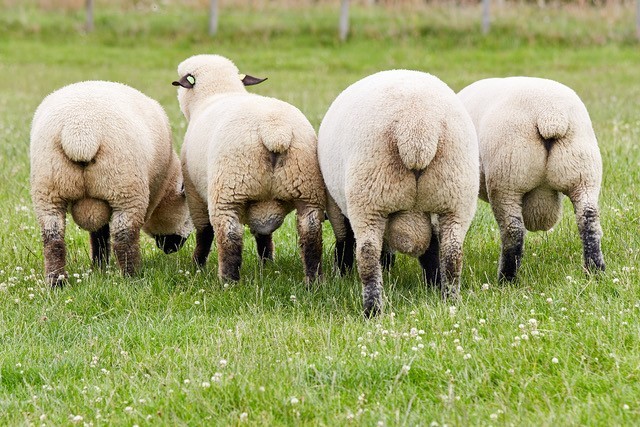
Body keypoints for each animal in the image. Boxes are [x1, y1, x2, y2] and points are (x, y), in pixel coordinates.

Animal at [30, 80, 190, 288]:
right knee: (124, 237)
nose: (172, 248)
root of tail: (80, 133)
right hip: (125, 188)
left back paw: (56, 283)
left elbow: (99, 233)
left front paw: (100, 266)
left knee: (53, 239)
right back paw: (132, 276)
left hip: (48, 189)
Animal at [172, 55, 324, 286]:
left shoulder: (194, 192)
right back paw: (312, 281)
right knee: (311, 232)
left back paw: (228, 282)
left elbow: (204, 233)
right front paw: (267, 263)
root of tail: (274, 131)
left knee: (229, 236)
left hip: (229, 190)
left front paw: (197, 264)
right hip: (307, 189)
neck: (218, 93)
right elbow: (263, 235)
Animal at [318, 70, 478, 318]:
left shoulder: (337, 207)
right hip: (457, 195)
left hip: (369, 195)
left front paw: (341, 274)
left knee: (367, 253)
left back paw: (372, 311)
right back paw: (450, 302)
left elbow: (344, 241)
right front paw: (433, 283)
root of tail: (418, 129)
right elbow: (432, 249)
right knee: (452, 253)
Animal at [460, 77, 604, 282]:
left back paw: (506, 279)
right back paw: (595, 270)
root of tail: (550, 115)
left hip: (507, 177)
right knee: (589, 220)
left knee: (513, 230)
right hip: (583, 172)